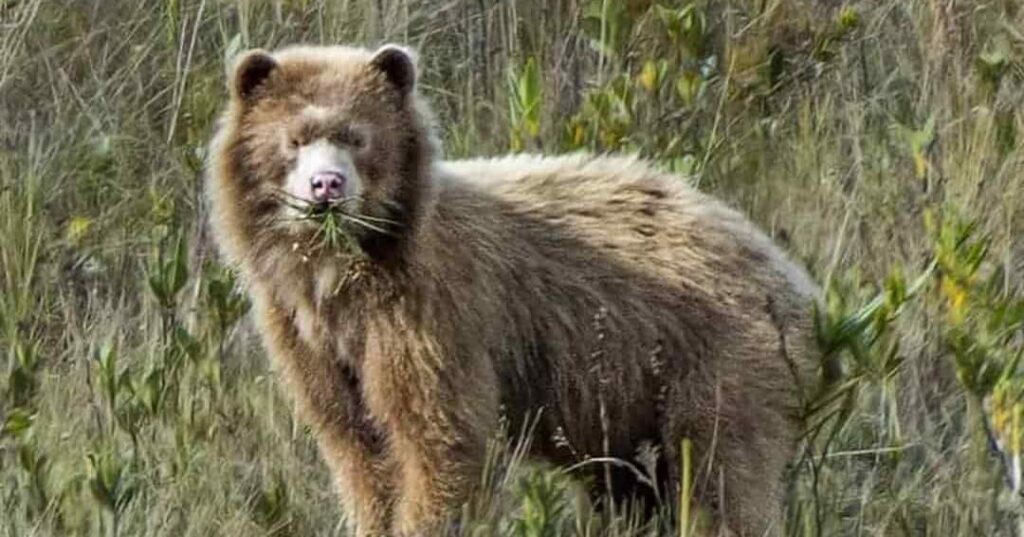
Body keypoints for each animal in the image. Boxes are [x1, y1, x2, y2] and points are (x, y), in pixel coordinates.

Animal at [205, 43, 820, 537]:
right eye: (295, 138)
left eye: (357, 136)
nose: (326, 186)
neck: (342, 273)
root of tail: (789, 272)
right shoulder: (308, 337)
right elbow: (354, 443)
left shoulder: (432, 313)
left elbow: (439, 437)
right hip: (629, 401)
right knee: (632, 491)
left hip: (713, 363)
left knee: (719, 478)